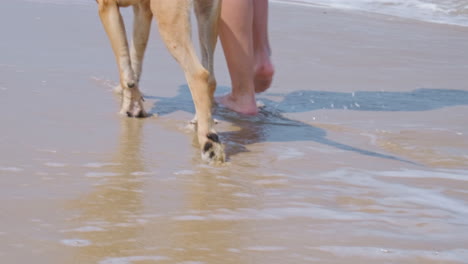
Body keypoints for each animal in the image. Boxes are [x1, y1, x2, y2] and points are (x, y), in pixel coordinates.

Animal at [95, 0, 225, 163]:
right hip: (208, 16)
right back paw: (200, 122)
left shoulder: (107, 6)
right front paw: (134, 106)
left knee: (198, 74)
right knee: (210, 77)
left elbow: (124, 64)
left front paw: (129, 107)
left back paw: (209, 143)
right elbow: (134, 61)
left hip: (170, 20)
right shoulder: (142, 10)